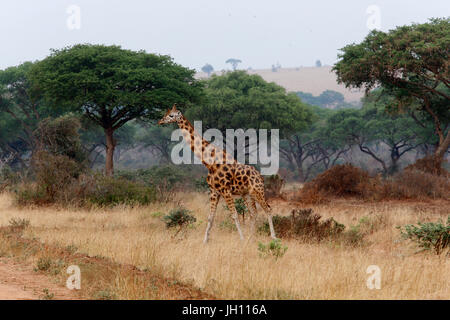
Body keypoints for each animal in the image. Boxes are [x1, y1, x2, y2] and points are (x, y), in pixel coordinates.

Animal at [158, 105, 278, 242]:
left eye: (171, 115)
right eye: (166, 113)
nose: (160, 121)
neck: (210, 162)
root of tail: (260, 176)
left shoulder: (225, 190)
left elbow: (234, 215)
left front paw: (241, 239)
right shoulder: (214, 191)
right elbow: (211, 217)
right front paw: (205, 241)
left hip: (257, 191)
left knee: (268, 209)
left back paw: (273, 237)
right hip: (246, 194)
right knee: (253, 213)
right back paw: (251, 237)